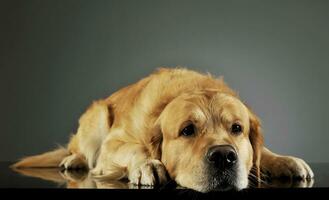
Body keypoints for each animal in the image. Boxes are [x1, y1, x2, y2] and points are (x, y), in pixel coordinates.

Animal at [11, 67, 312, 192]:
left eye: (237, 128)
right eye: (187, 130)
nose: (224, 157)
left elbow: (265, 151)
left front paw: (285, 161)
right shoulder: (112, 145)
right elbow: (136, 148)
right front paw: (149, 165)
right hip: (98, 115)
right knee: (80, 149)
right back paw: (72, 159)